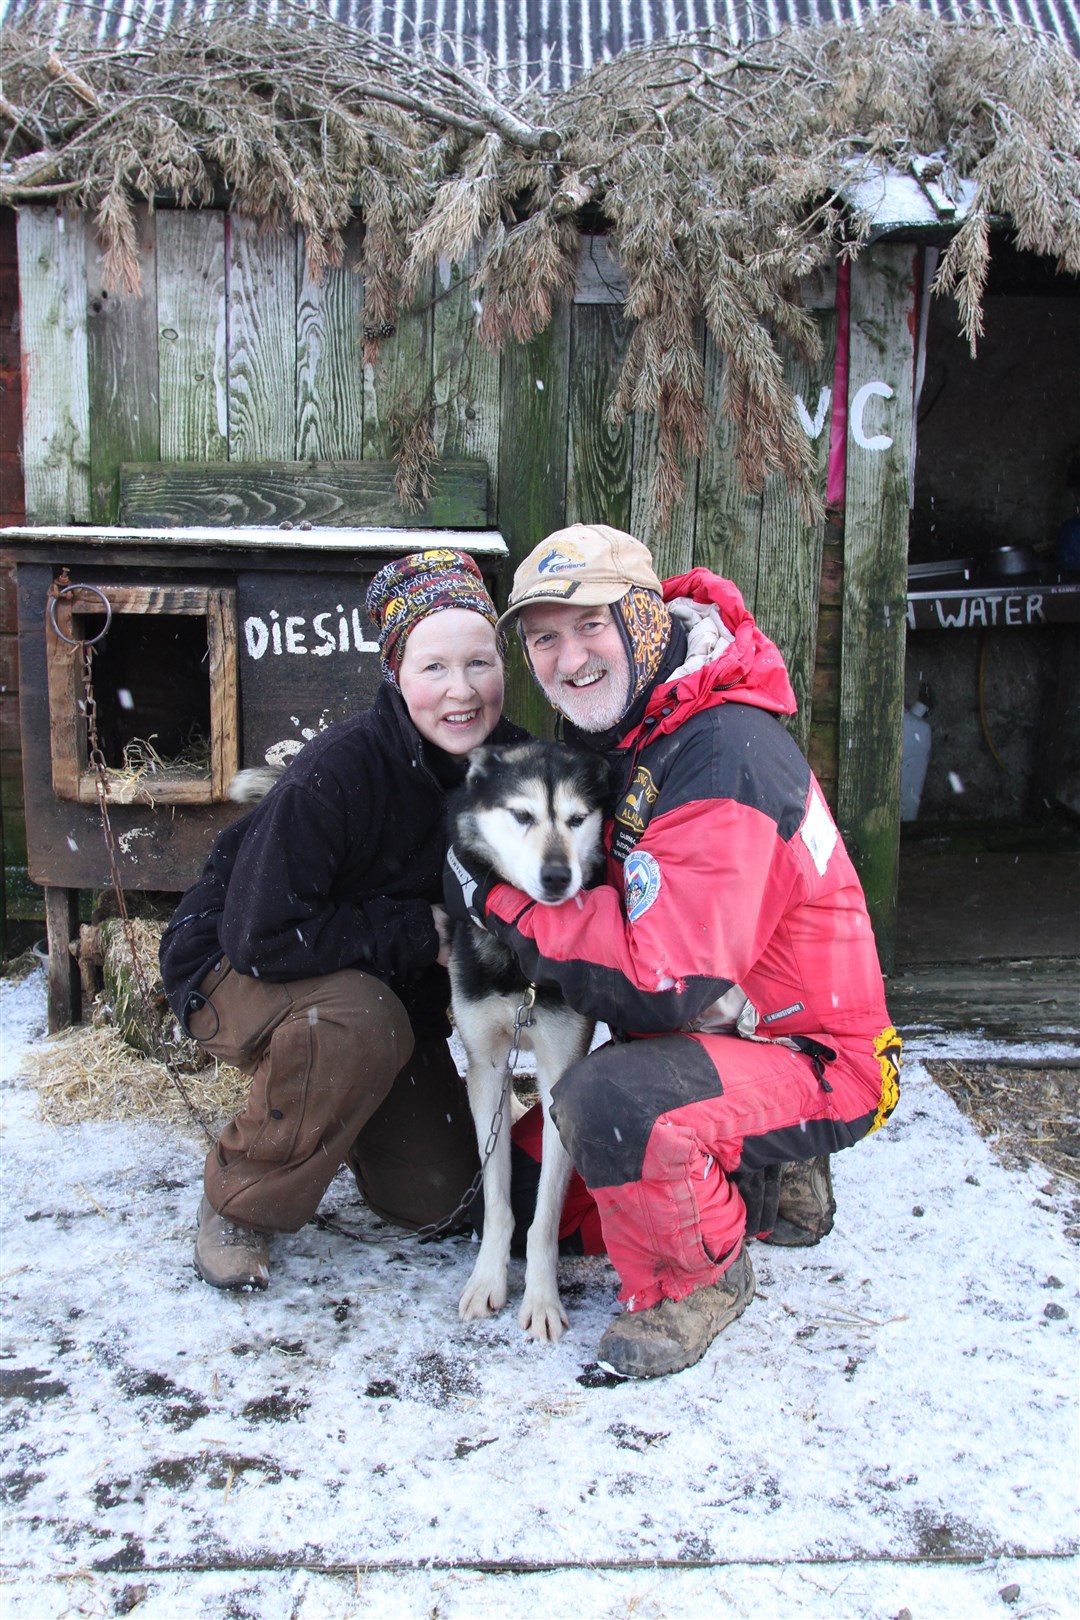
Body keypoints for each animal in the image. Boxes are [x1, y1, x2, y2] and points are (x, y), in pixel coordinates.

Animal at [446, 741, 608, 1341]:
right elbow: (496, 1199)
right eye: (522, 815)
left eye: (577, 819)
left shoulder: (561, 1070)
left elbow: (542, 1217)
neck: (522, 965)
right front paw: (487, 1280)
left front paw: (540, 1299)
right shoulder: (486, 1065)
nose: (558, 876)